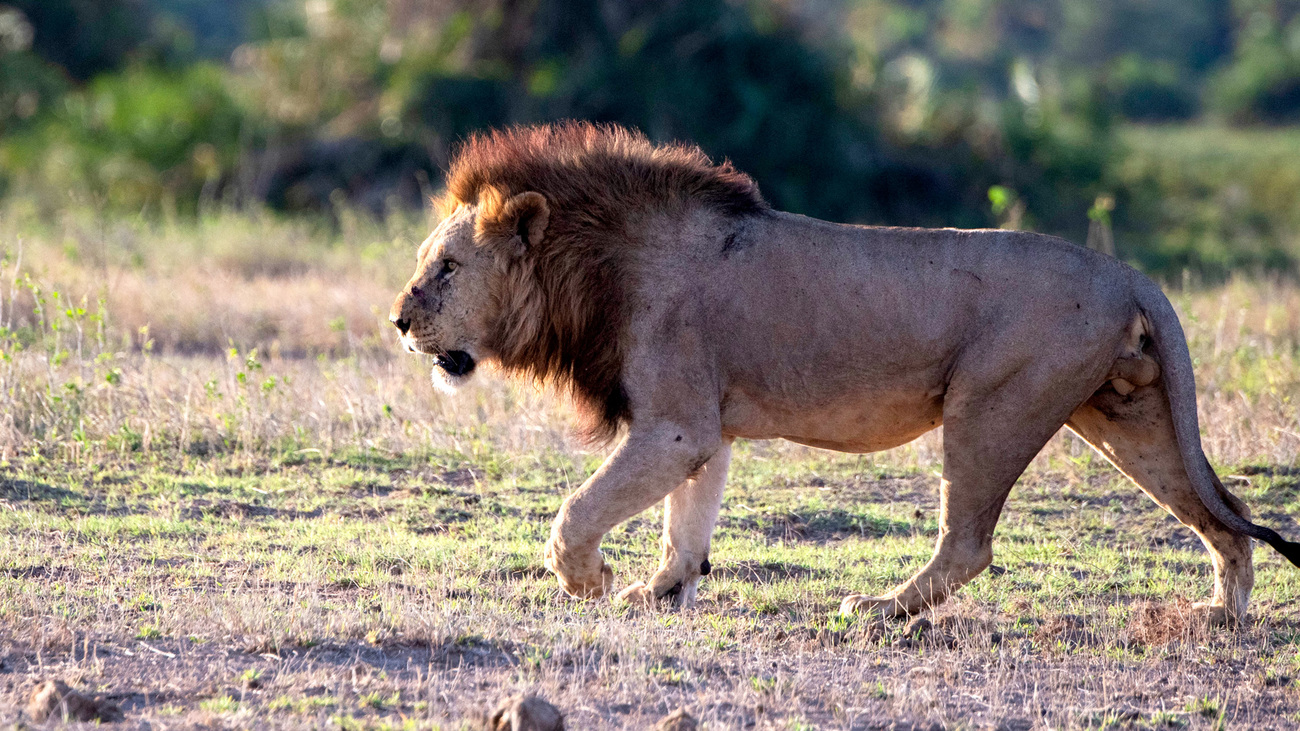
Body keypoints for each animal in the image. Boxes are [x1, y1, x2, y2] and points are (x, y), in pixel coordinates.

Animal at [390, 119, 1300, 619]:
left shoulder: (675, 424)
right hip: (1127, 417)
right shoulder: (704, 429)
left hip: (991, 407)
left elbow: (577, 511)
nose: (398, 321)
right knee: (1225, 517)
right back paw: (1218, 615)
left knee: (968, 544)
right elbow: (687, 524)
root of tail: (1129, 273)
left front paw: (590, 581)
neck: (593, 266)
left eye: (446, 268)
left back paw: (881, 610)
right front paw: (658, 590)